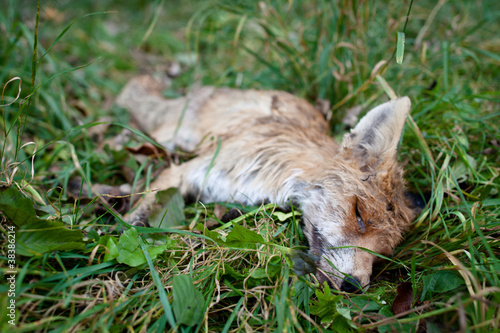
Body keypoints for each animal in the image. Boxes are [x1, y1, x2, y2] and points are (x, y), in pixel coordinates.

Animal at [117, 74, 422, 290]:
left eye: (382, 253)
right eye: (358, 214)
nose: (354, 286)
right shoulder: (190, 171)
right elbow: (150, 197)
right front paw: (132, 228)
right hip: (173, 134)